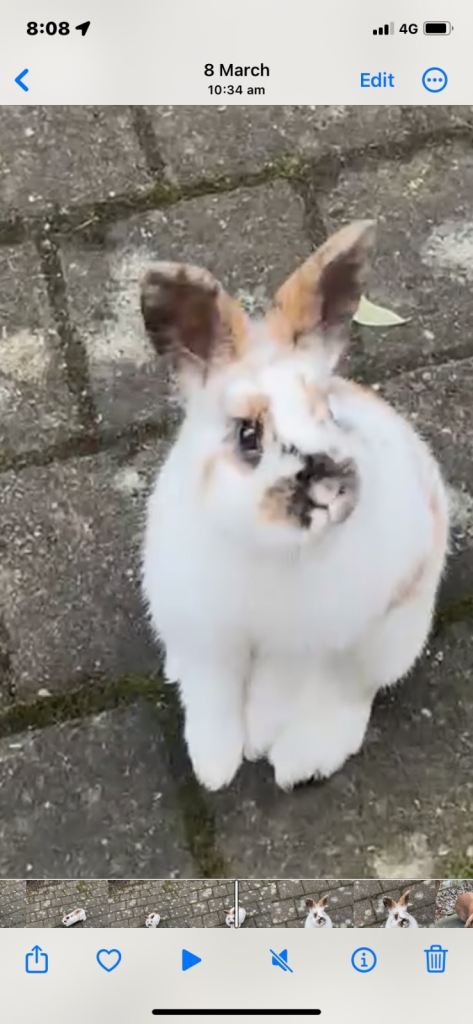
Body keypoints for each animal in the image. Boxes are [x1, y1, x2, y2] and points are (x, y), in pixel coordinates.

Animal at [141, 220, 449, 792]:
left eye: (329, 413)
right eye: (247, 435)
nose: (328, 486)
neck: (269, 549)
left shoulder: (300, 644)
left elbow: (274, 693)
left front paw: (258, 743)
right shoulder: (204, 632)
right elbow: (212, 696)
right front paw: (214, 767)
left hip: (389, 634)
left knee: (352, 690)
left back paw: (300, 761)